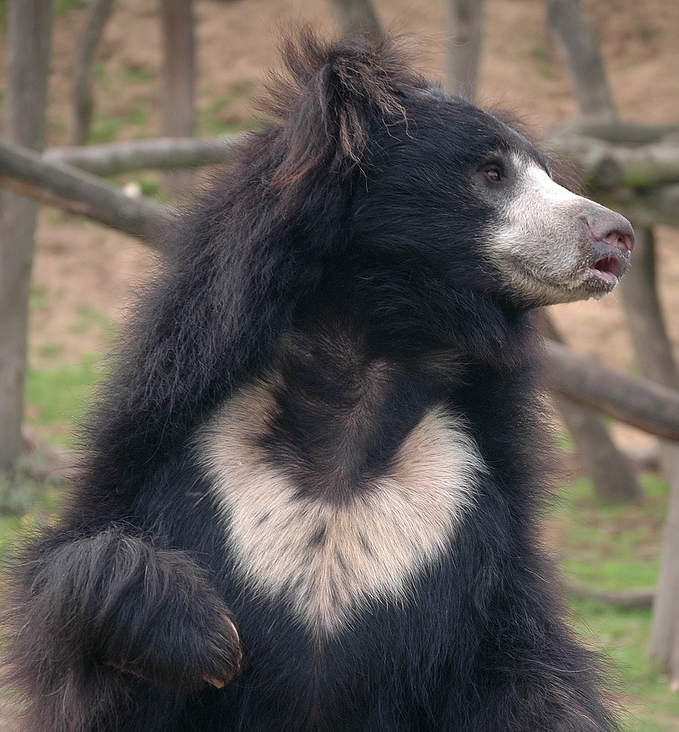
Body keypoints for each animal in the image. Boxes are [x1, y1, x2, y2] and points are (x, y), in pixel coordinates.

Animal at [5, 33, 636, 732]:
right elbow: (68, 586)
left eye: (547, 174)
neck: (363, 361)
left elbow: (532, 683)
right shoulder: (170, 444)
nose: (616, 235)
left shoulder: (474, 517)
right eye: (491, 173)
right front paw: (205, 637)